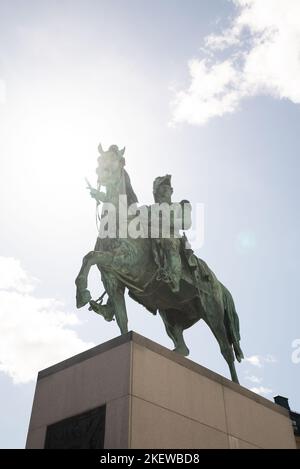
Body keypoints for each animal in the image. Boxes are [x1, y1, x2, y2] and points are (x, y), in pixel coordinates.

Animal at [75, 144, 244, 382]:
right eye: (100, 159)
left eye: (119, 161)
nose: (101, 175)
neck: (121, 222)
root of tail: (220, 285)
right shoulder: (112, 280)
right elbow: (121, 318)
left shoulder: (124, 262)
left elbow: (90, 256)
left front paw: (82, 294)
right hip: (171, 316)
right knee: (183, 349)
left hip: (213, 315)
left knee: (226, 351)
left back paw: (235, 383)